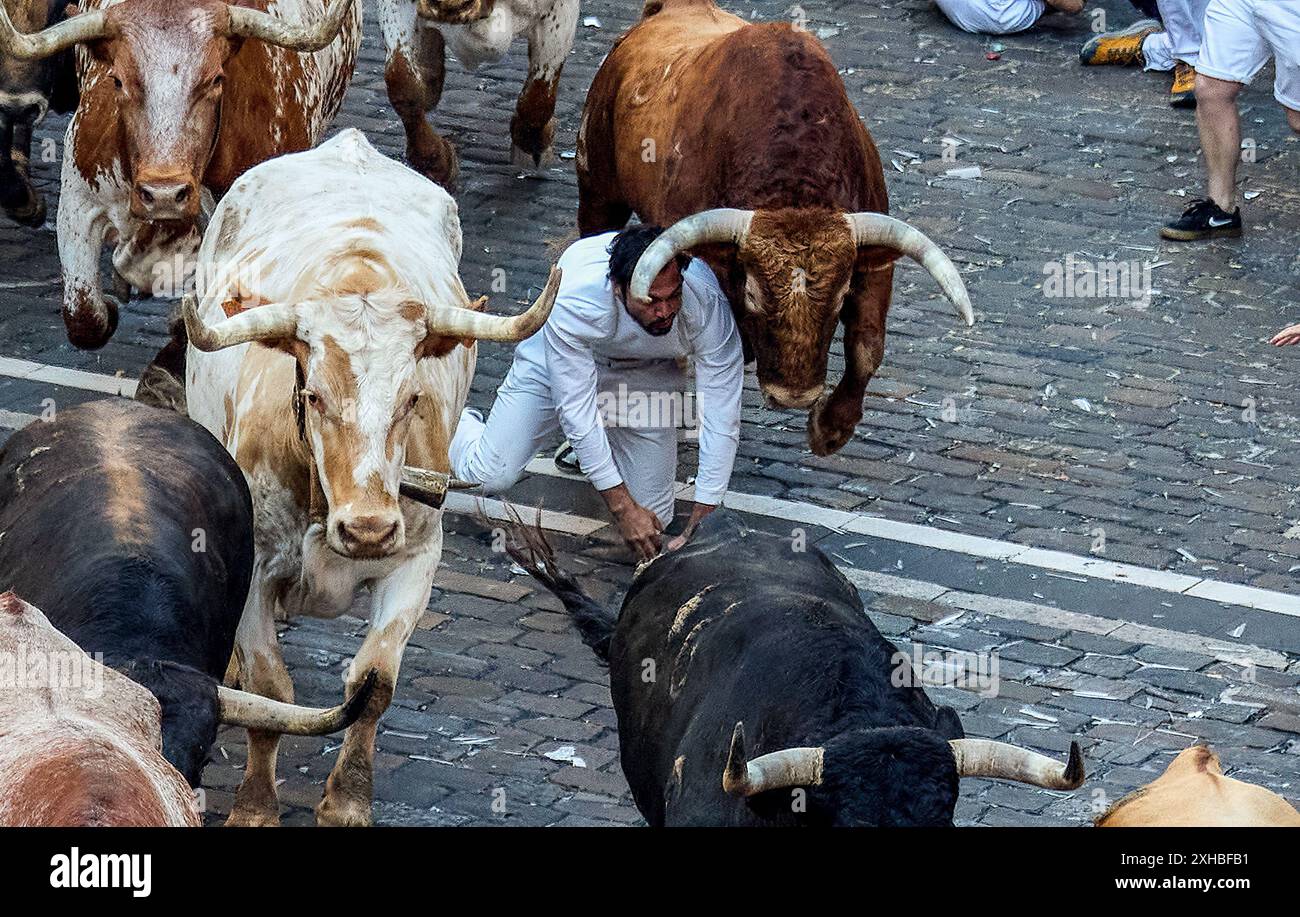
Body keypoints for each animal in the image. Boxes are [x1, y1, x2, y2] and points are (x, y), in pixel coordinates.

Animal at [574, 0, 972, 455]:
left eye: (840, 297)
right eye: (752, 293)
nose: (794, 397)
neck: (793, 186)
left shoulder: (874, 265)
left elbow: (868, 346)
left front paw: (830, 429)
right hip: (597, 189)